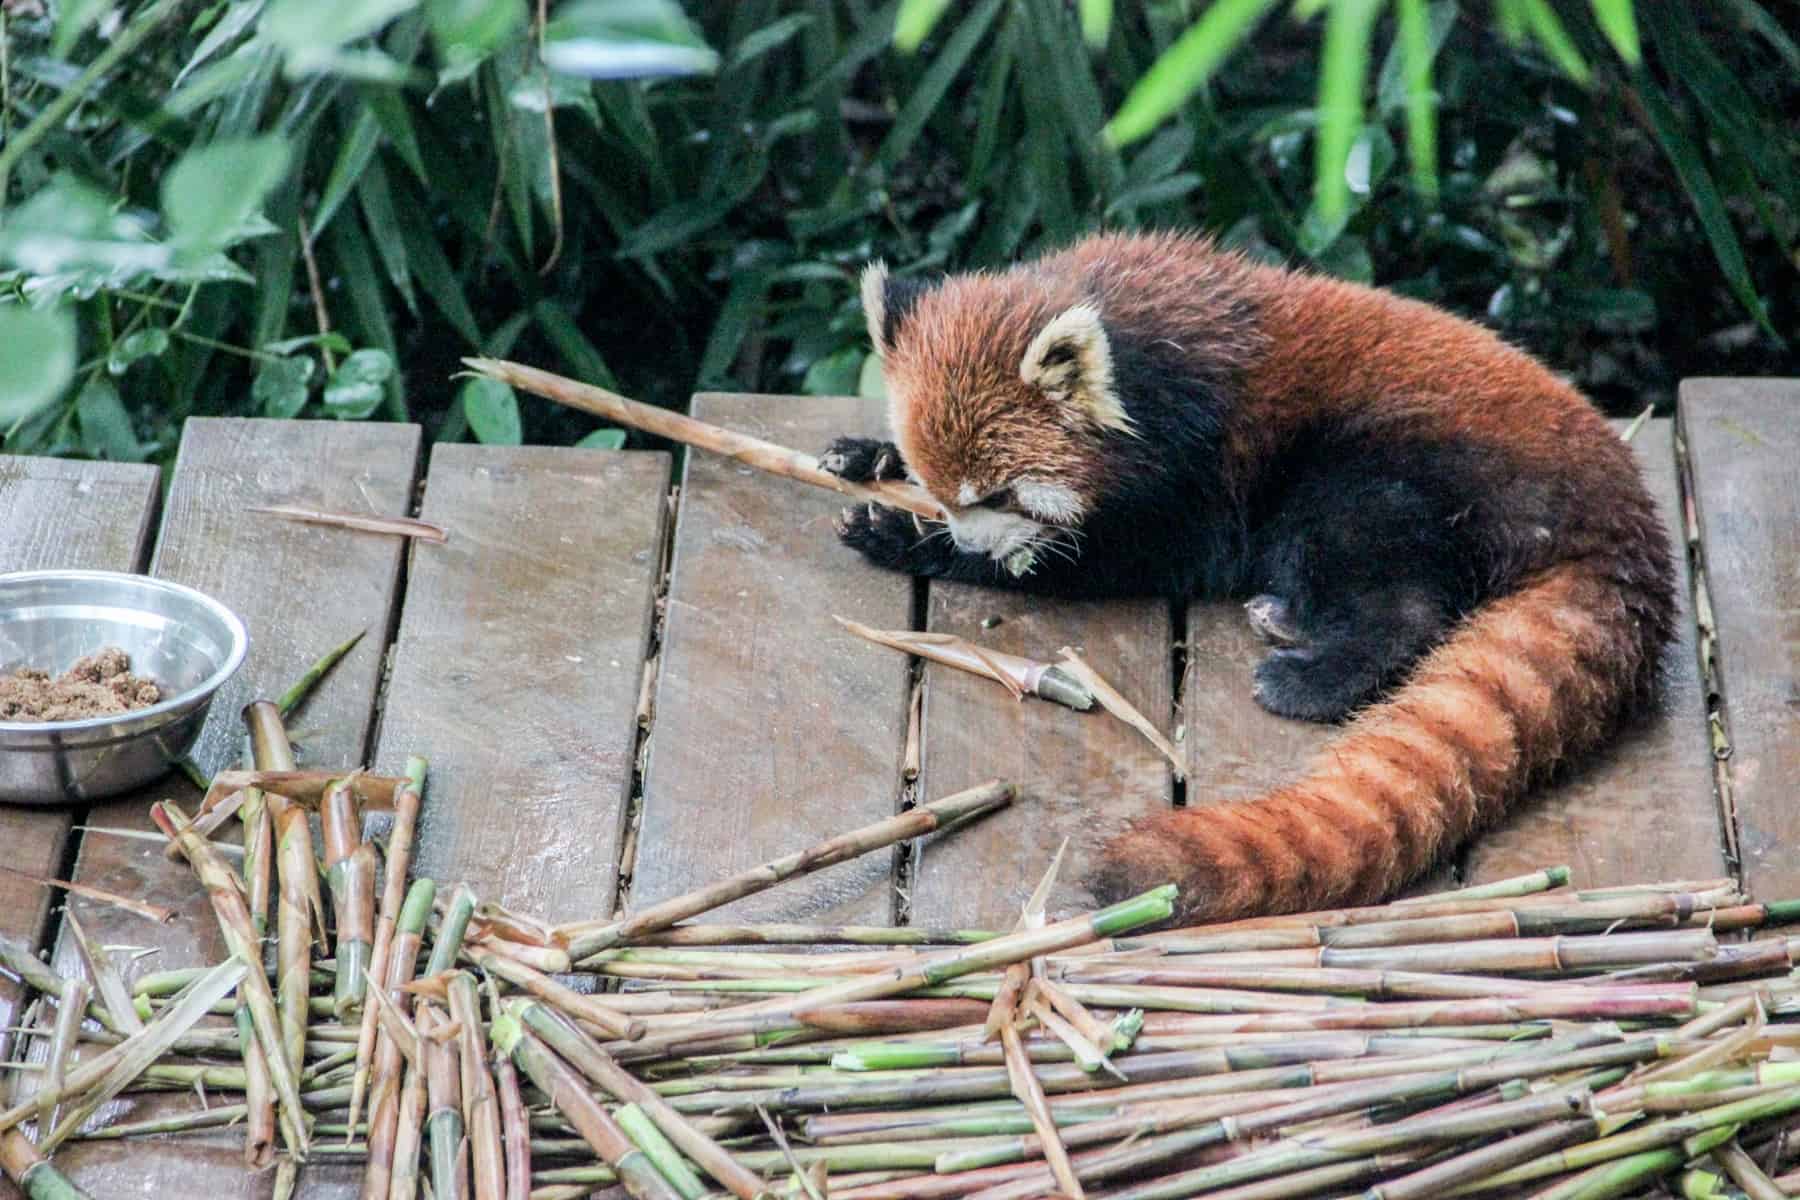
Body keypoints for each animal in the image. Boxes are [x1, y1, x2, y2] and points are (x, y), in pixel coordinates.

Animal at [824, 230, 1677, 921]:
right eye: (944, 488)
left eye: (1000, 495)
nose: (974, 538)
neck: (1142, 347)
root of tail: (1621, 513)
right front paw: (867, 457)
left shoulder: (1195, 472)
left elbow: (1117, 553)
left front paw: (915, 541)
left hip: (1399, 463)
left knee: (1399, 593)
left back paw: (1309, 669)